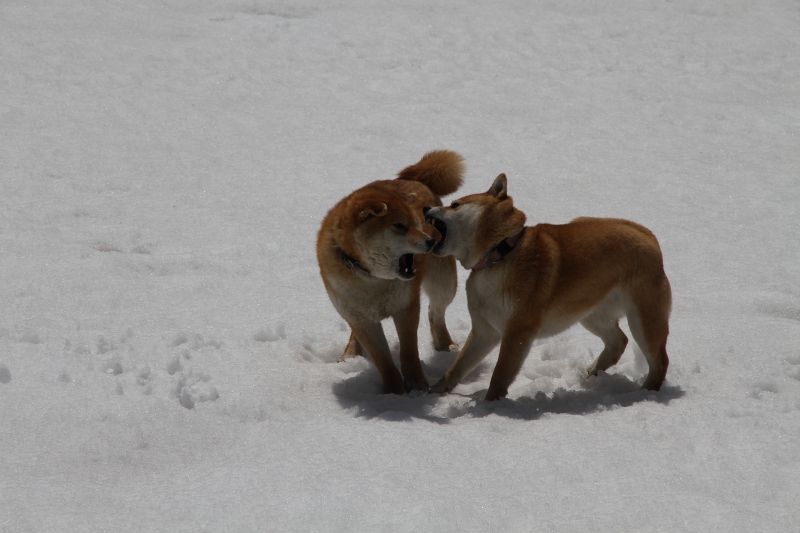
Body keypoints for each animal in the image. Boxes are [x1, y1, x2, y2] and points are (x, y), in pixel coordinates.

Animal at [314, 152, 462, 392]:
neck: (372, 279)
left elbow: (409, 351)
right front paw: (394, 391)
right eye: (398, 225)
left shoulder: (406, 308)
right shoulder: (361, 318)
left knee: (436, 313)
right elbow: (382, 360)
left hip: (444, 282)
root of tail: (414, 179)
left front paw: (417, 386)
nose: (431, 241)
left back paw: (445, 345)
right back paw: (350, 355)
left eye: (417, 223)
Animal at [428, 172, 672, 402]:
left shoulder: (517, 332)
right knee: (618, 342)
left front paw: (490, 406)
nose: (427, 208)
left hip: (644, 320)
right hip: (591, 314)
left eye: (455, 204)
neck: (499, 255)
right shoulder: (484, 332)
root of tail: (649, 236)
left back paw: (646, 393)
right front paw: (435, 391)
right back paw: (592, 372)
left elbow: (499, 375)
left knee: (659, 360)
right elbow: (457, 368)